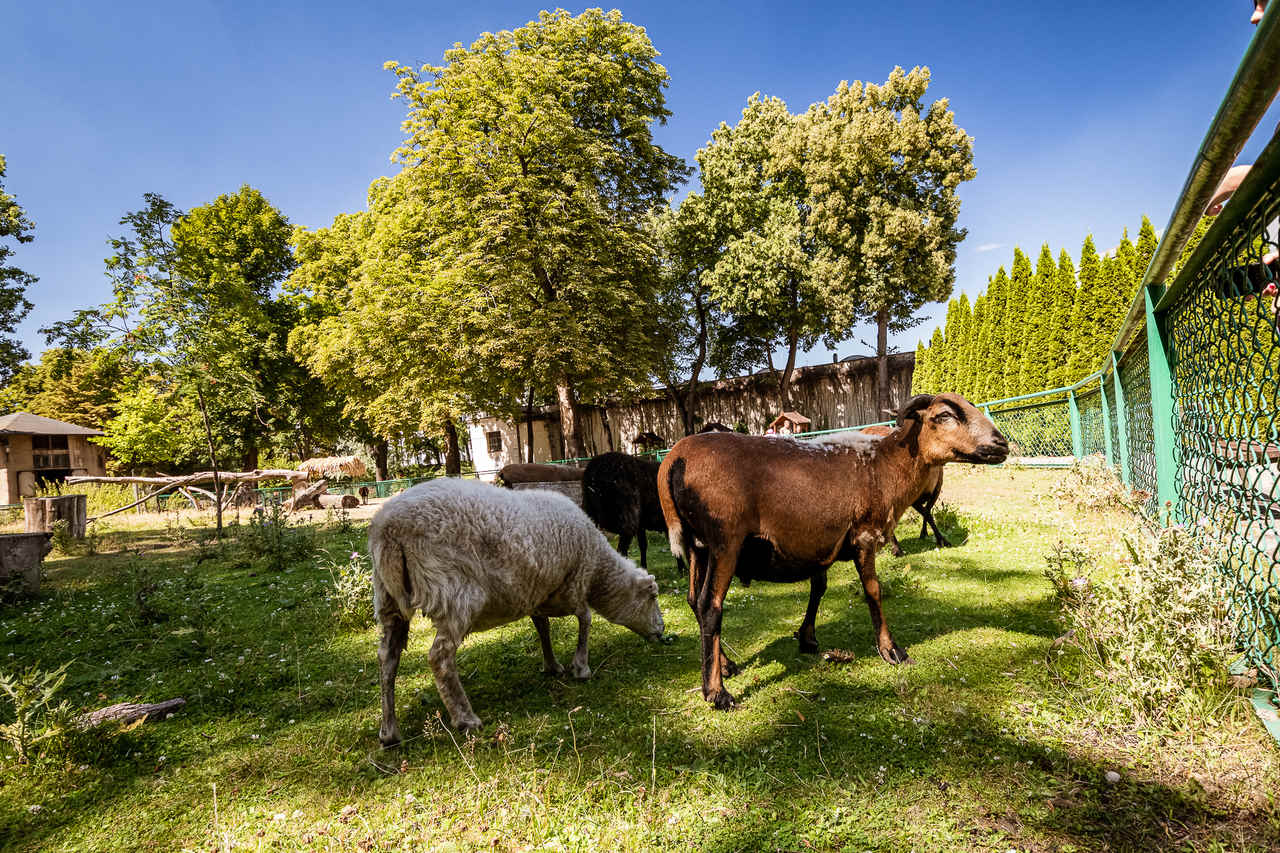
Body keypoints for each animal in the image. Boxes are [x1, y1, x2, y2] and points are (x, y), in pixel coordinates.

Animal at [371, 473, 665, 742]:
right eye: (653, 596)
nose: (662, 632)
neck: (598, 572)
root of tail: (388, 528)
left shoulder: (537, 593)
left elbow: (543, 628)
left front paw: (552, 665)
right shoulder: (575, 583)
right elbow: (586, 619)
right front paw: (581, 667)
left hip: (387, 600)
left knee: (387, 658)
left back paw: (389, 731)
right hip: (454, 593)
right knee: (439, 657)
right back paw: (465, 718)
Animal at [660, 394, 1008, 706]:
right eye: (944, 415)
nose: (1002, 444)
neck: (885, 465)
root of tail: (672, 459)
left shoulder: (820, 541)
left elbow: (819, 587)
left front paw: (807, 637)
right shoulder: (864, 536)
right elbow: (873, 591)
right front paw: (892, 650)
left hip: (698, 546)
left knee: (693, 600)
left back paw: (726, 665)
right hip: (725, 540)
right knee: (710, 606)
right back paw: (717, 692)